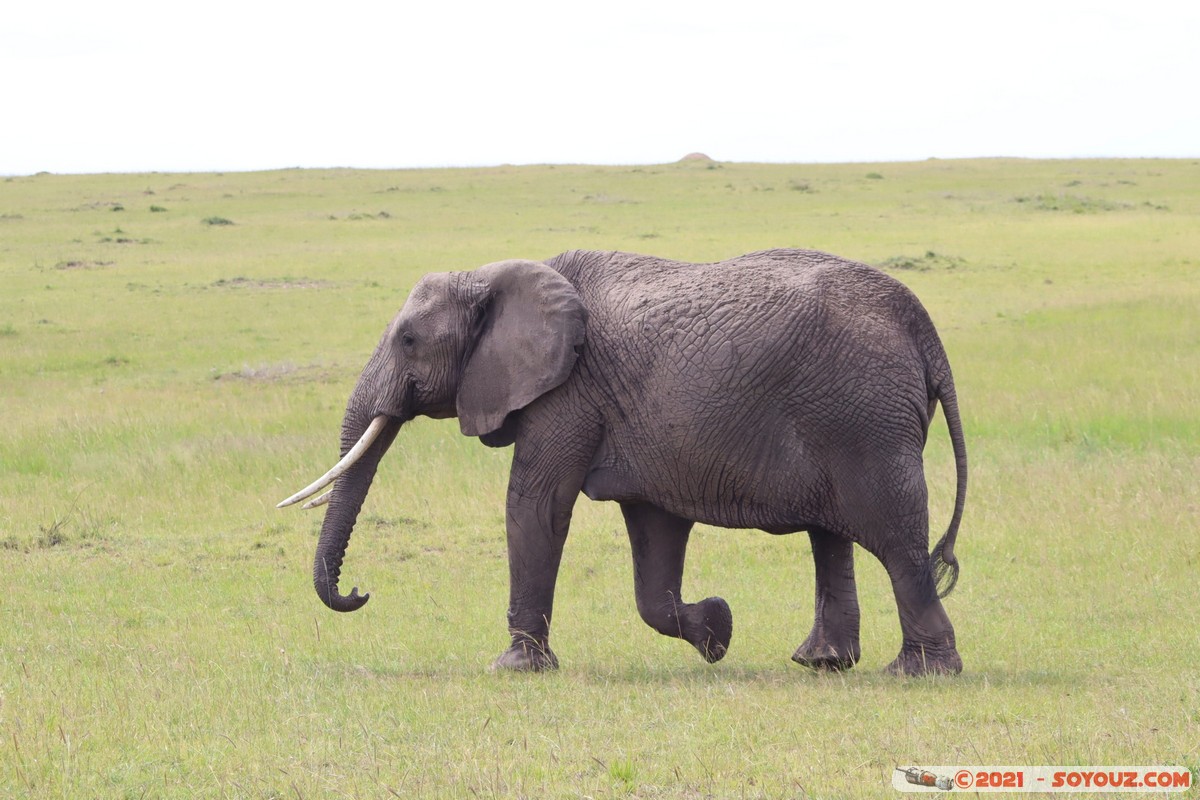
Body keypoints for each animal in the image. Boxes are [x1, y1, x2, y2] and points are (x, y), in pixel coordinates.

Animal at [278, 248, 964, 676]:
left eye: (409, 340)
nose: (360, 592)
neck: (493, 274)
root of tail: (920, 324)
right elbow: (654, 537)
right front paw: (717, 631)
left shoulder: (567, 391)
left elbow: (536, 505)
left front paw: (513, 669)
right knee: (831, 536)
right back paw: (821, 663)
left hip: (865, 418)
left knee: (896, 538)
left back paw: (919, 672)